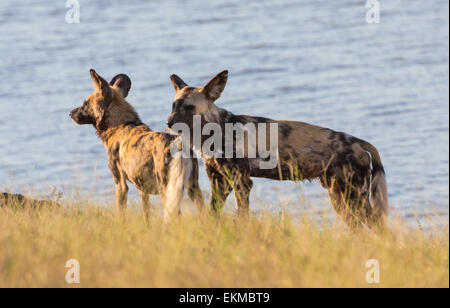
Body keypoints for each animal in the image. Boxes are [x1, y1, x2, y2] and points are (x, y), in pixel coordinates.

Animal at [70, 70, 204, 219]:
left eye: (85, 104)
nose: (70, 113)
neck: (120, 124)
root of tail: (179, 146)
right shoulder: (142, 189)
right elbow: (146, 216)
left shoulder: (120, 185)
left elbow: (121, 214)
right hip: (193, 189)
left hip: (167, 190)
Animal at [167, 71, 388, 230]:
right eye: (173, 105)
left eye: (189, 107)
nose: (168, 123)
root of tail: (357, 141)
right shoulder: (220, 182)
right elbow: (213, 213)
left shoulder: (242, 183)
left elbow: (243, 216)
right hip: (340, 199)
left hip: (354, 197)